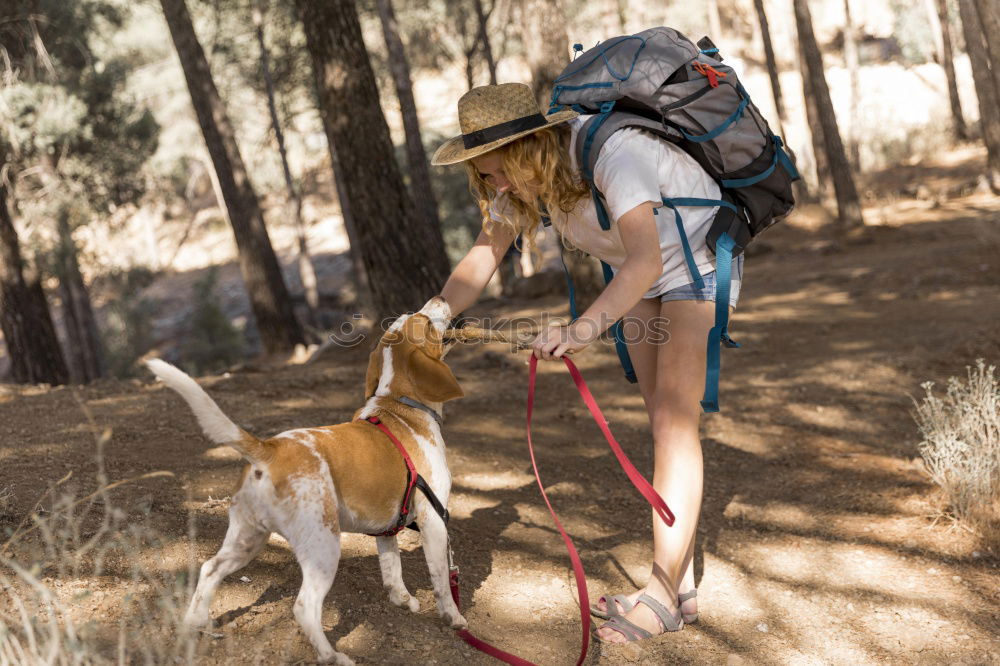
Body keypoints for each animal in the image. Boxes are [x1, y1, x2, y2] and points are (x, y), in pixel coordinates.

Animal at [146, 296, 464, 664]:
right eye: (424, 321)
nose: (441, 297)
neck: (398, 403)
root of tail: (269, 448)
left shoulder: (385, 529)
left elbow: (392, 569)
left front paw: (403, 600)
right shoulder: (433, 520)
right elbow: (442, 579)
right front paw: (454, 617)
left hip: (247, 540)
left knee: (209, 569)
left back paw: (195, 622)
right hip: (324, 547)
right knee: (304, 607)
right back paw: (331, 656)